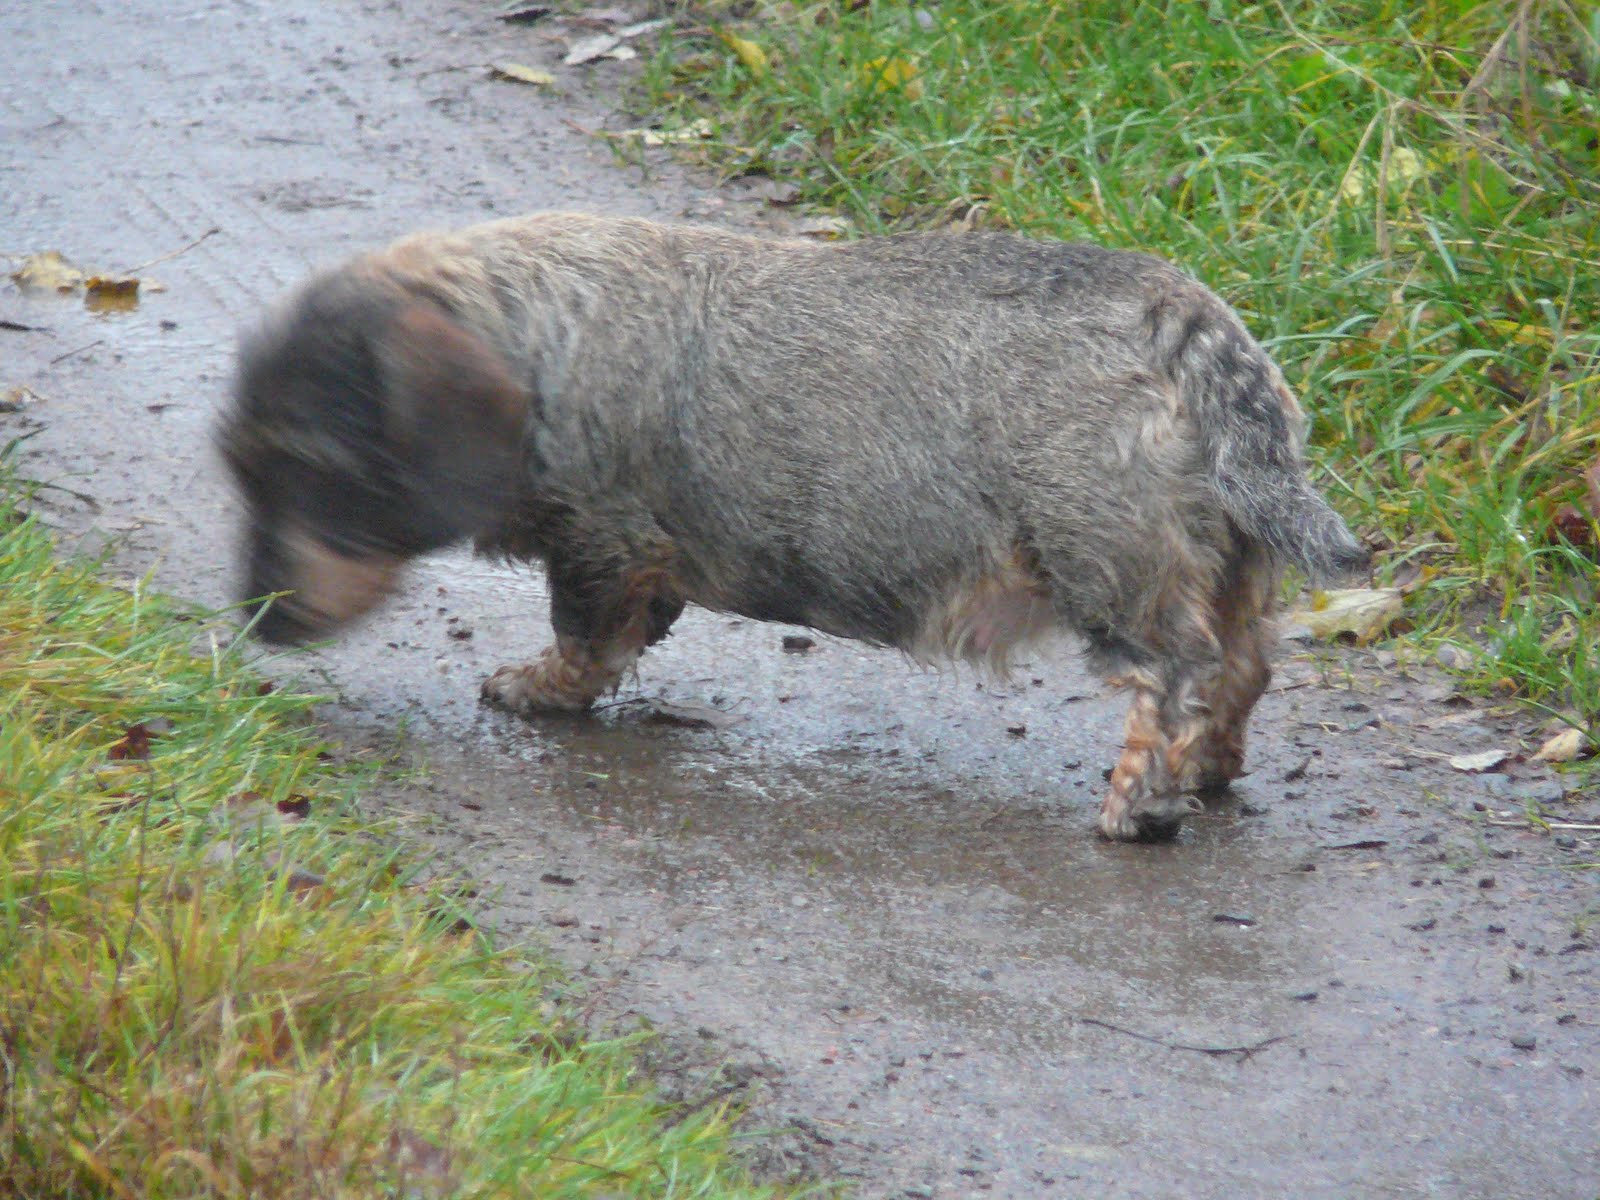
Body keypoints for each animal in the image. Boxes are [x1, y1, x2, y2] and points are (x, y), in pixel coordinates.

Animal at [218, 212, 1367, 841]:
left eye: (318, 473)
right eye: (242, 469)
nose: (259, 621)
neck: (533, 326)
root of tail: (1192, 325)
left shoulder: (597, 537)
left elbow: (582, 638)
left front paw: (533, 689)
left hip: (1111, 565)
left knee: (1173, 676)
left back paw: (1141, 806)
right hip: (1231, 557)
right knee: (1240, 668)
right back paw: (1208, 770)